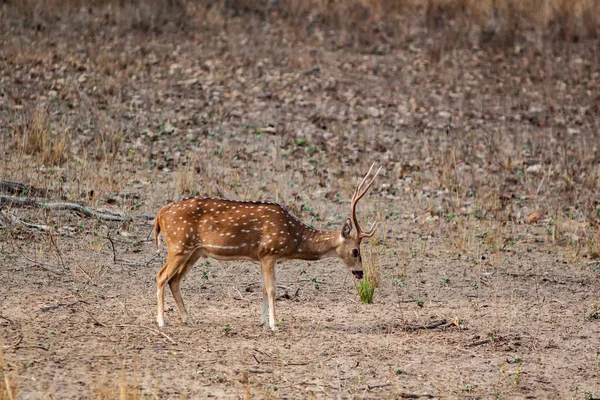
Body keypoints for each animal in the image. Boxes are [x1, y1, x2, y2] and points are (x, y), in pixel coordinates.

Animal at [152, 164, 382, 330]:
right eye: (355, 251)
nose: (360, 273)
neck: (293, 238)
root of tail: (160, 214)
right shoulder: (269, 253)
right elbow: (272, 289)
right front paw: (274, 325)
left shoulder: (261, 258)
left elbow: (263, 288)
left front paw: (263, 322)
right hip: (179, 245)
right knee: (161, 276)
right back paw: (162, 322)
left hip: (194, 251)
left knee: (174, 281)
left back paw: (188, 319)